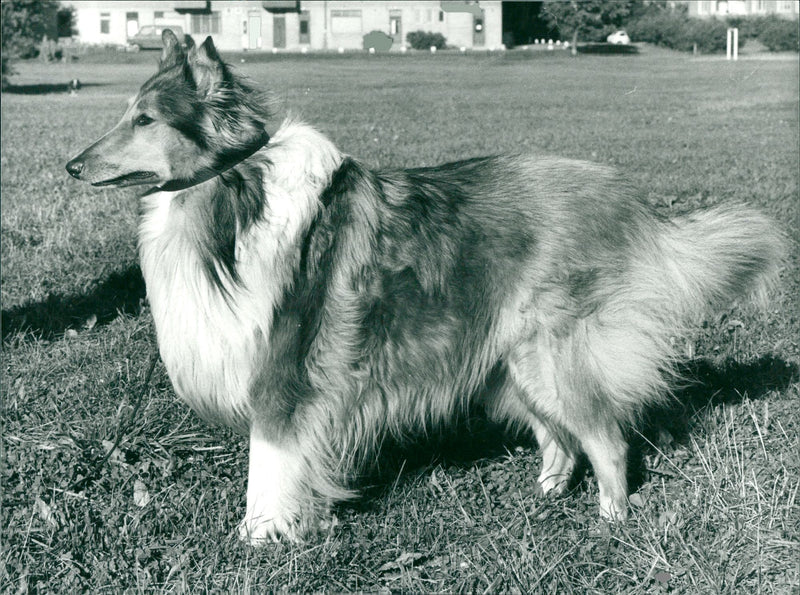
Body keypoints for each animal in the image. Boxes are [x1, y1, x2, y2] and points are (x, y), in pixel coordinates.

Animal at [65, 31, 784, 544]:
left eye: (144, 119)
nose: (71, 165)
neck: (238, 190)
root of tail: (631, 200)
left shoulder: (282, 376)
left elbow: (266, 470)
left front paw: (257, 539)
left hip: (551, 354)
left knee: (606, 438)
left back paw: (612, 523)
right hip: (510, 362)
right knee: (558, 437)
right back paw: (546, 498)